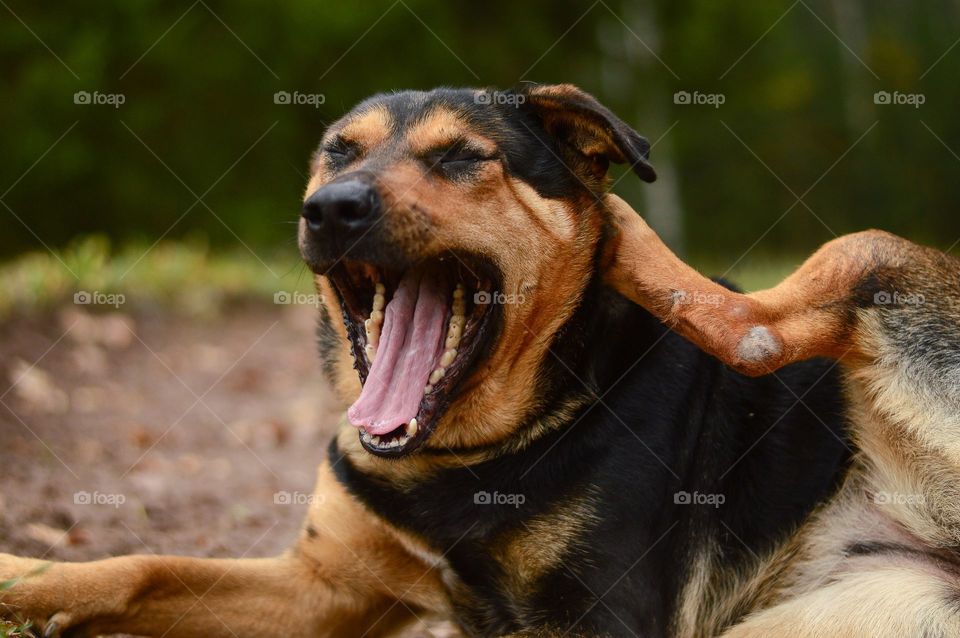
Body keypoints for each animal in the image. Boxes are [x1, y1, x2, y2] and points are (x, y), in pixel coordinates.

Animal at [1, 86, 960, 638]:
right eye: (339, 151)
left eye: (463, 158)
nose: (332, 208)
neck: (469, 450)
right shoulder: (324, 587)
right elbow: (139, 567)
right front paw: (23, 577)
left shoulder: (598, 620)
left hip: (874, 258)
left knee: (757, 324)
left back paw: (622, 230)